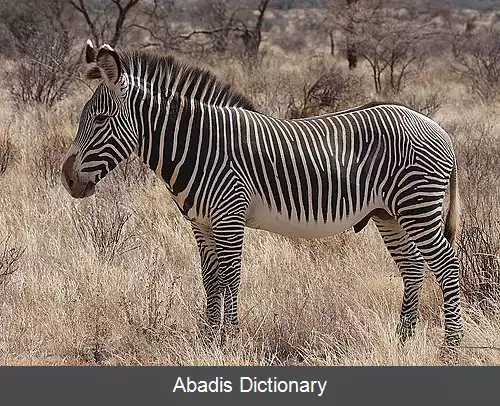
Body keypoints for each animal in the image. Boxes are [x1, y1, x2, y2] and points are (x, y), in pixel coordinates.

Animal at [61, 40, 464, 346]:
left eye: (100, 119)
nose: (67, 179)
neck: (199, 146)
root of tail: (437, 128)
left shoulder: (229, 214)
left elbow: (230, 278)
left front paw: (231, 340)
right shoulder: (201, 223)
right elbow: (210, 280)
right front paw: (208, 340)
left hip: (417, 207)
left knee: (447, 264)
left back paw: (451, 345)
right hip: (390, 214)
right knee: (413, 268)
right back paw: (403, 340)